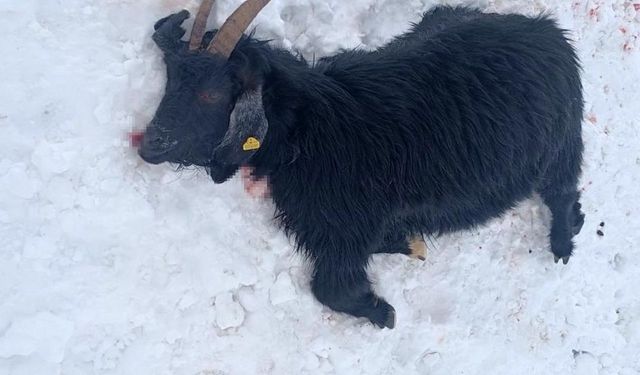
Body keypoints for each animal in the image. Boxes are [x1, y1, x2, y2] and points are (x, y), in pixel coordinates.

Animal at [139, 0, 584, 328]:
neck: (308, 127)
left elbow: (331, 290)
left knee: (562, 190)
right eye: (170, 78)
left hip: (563, 142)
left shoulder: (344, 230)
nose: (150, 146)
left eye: (212, 94)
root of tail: (546, 31)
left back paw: (564, 239)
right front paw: (405, 243)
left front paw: (381, 311)